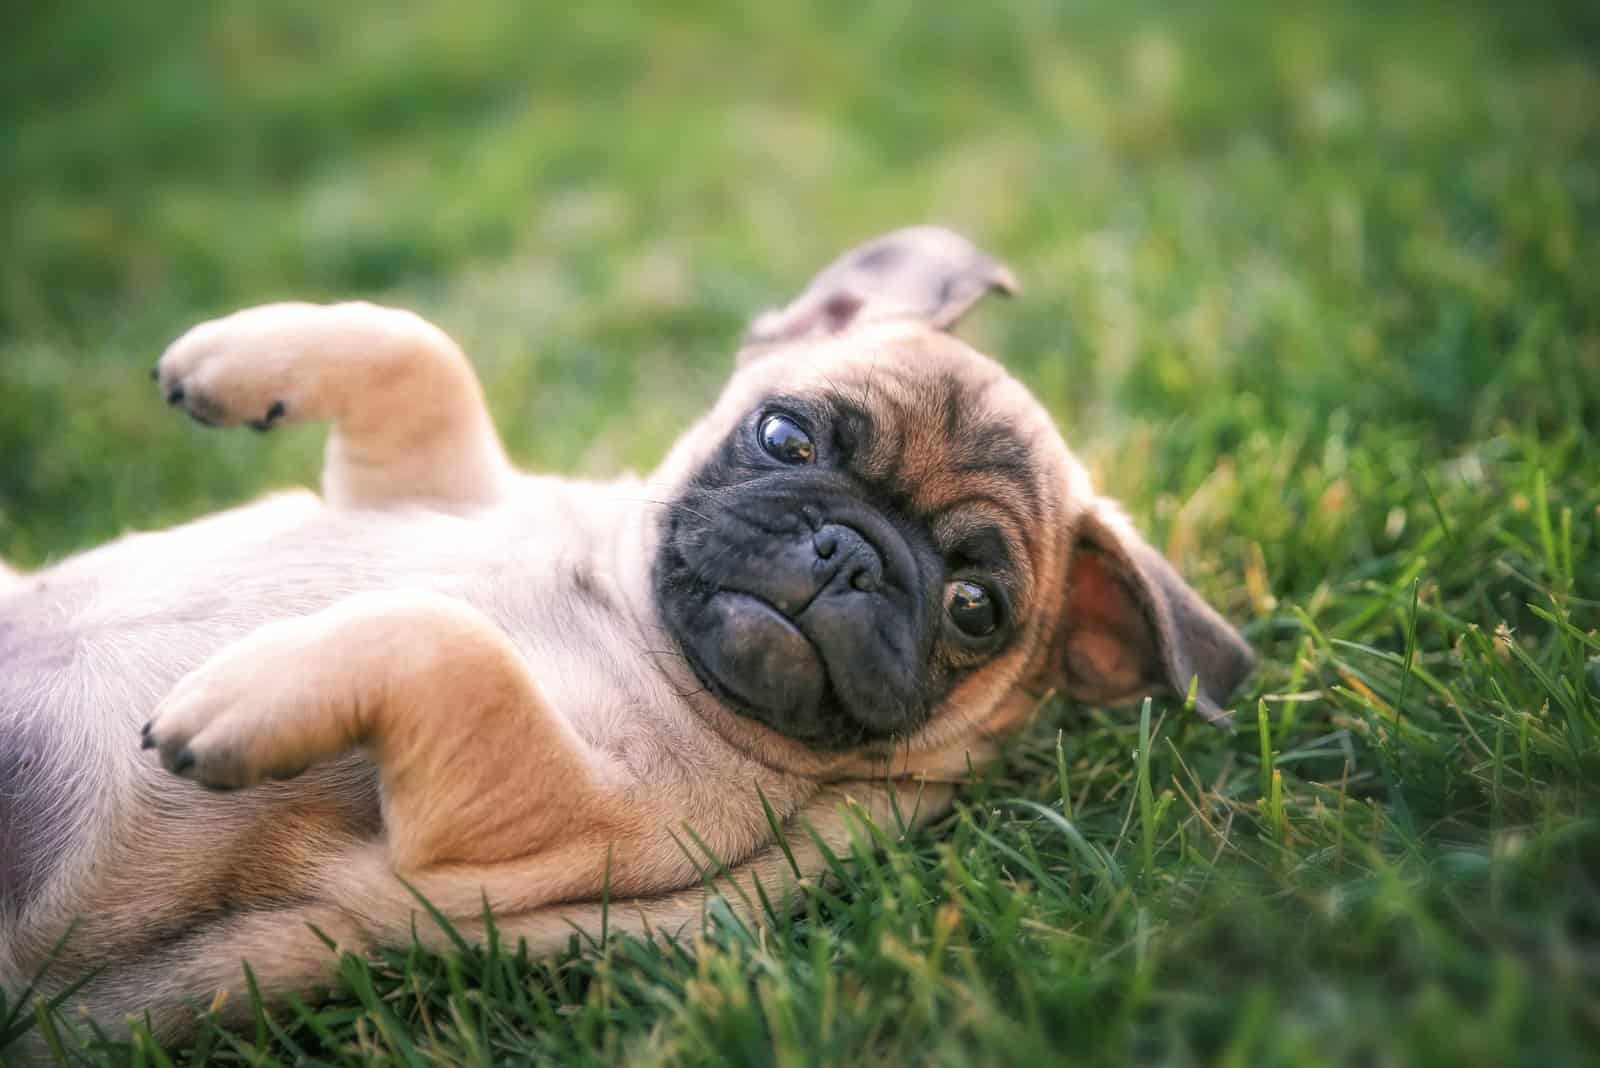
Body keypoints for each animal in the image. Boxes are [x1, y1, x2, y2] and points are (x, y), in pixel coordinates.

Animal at [0, 230, 1248, 1048]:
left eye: (975, 608)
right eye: (785, 437)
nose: (850, 554)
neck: (622, 608)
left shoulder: (518, 828)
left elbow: (456, 643)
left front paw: (251, 692)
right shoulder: (420, 480)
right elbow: (420, 350)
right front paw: (229, 360)